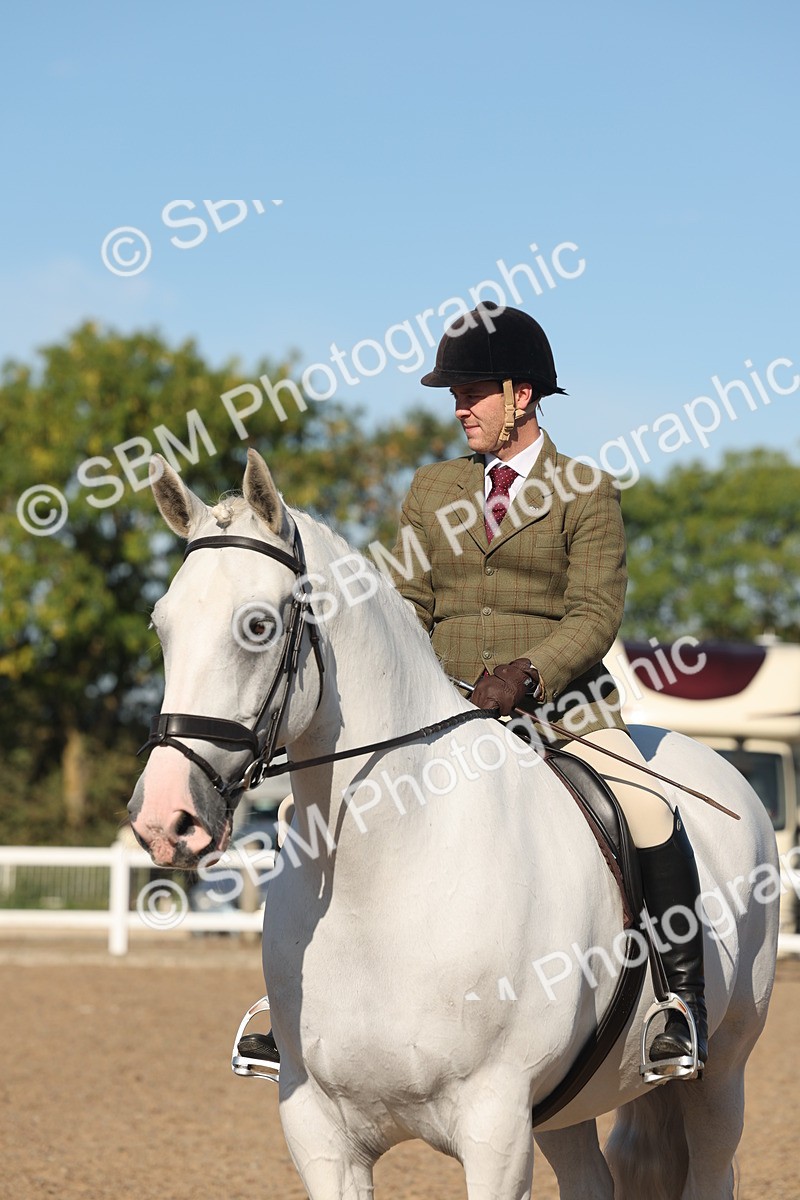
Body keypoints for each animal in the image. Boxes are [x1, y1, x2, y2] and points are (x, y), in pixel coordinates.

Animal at [129, 448, 779, 1200]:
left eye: (258, 625)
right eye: (161, 624)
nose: (165, 819)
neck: (380, 881)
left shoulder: (495, 1127)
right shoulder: (321, 1134)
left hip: (721, 1075)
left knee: (713, 1156)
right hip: (565, 1108)